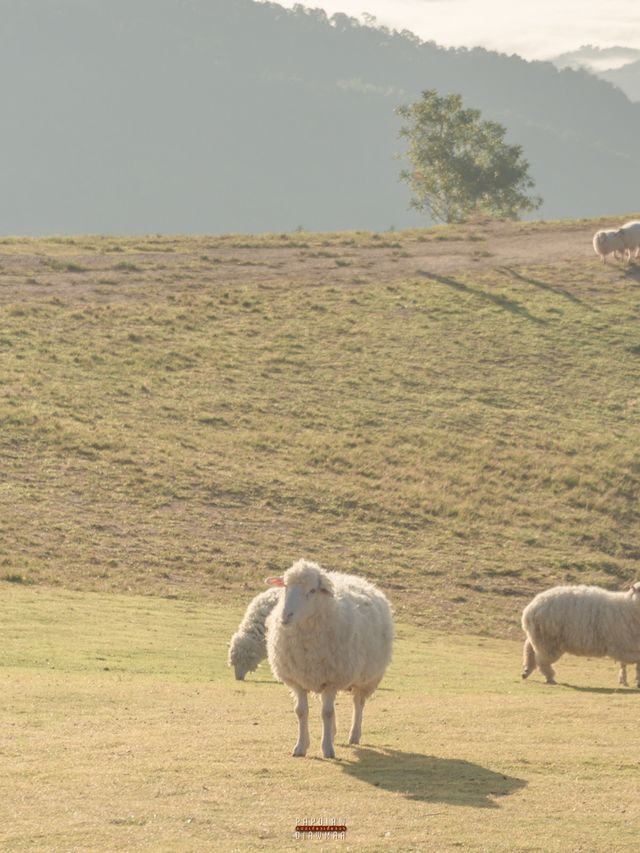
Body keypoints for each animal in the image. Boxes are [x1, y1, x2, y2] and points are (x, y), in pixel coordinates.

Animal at [262, 560, 392, 760]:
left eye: (312, 590)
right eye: (285, 586)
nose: (285, 616)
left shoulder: (332, 679)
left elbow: (327, 713)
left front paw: (327, 749)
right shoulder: (298, 680)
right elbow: (302, 712)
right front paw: (301, 746)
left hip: (367, 678)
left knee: (358, 703)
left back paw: (354, 735)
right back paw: (333, 732)